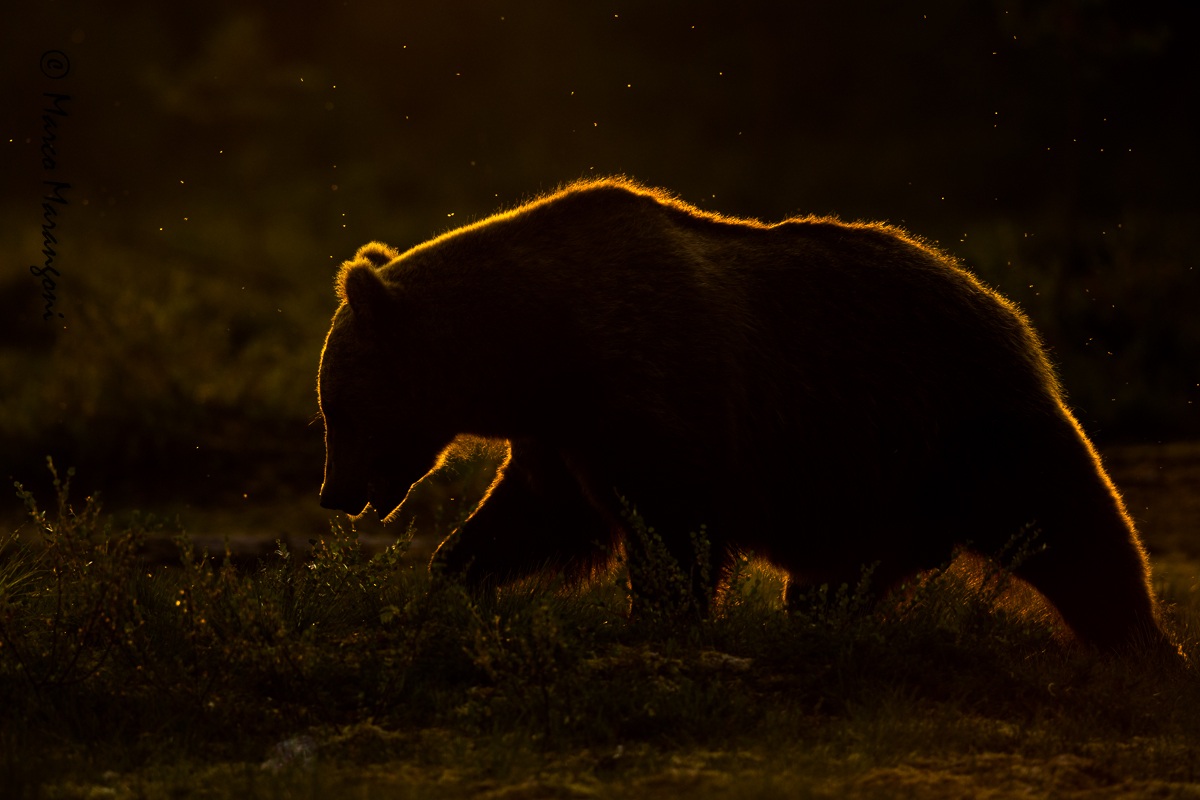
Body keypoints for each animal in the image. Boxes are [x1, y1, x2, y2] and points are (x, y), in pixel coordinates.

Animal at [316, 177, 1174, 654]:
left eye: (337, 410)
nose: (333, 493)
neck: (538, 346)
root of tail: (1006, 307)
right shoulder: (563, 436)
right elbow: (538, 518)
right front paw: (452, 574)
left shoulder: (655, 398)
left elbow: (672, 536)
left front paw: (656, 620)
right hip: (879, 489)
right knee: (842, 579)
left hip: (963, 422)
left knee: (1078, 529)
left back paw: (1146, 649)